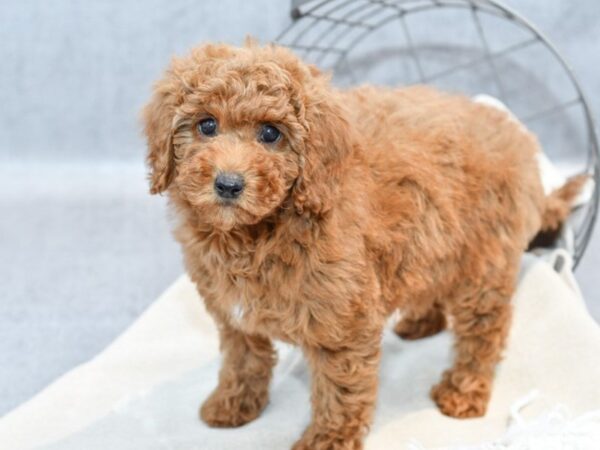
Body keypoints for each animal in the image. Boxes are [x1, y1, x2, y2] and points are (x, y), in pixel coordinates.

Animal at [143, 43, 584, 450]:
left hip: (484, 262)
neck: (257, 232)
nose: (228, 184)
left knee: (485, 328)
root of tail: (518, 137)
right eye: (206, 125)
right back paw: (421, 321)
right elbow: (244, 359)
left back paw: (463, 390)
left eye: (270, 133)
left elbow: (339, 391)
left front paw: (326, 440)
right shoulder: (233, 315)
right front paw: (232, 404)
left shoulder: (344, 324)